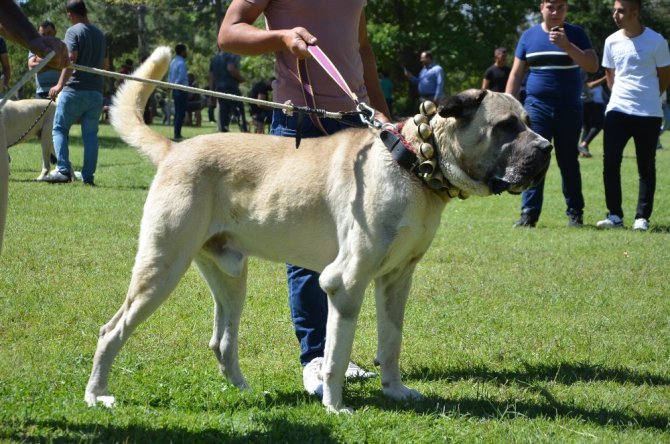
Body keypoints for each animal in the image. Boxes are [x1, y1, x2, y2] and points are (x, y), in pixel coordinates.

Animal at [85, 46, 552, 412]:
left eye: (529, 121)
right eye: (506, 126)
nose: (547, 148)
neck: (415, 163)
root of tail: (174, 149)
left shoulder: (396, 280)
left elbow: (392, 341)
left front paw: (395, 391)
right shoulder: (345, 281)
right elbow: (336, 353)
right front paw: (335, 405)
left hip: (230, 273)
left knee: (221, 341)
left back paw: (247, 391)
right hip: (162, 267)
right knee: (111, 330)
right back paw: (97, 395)